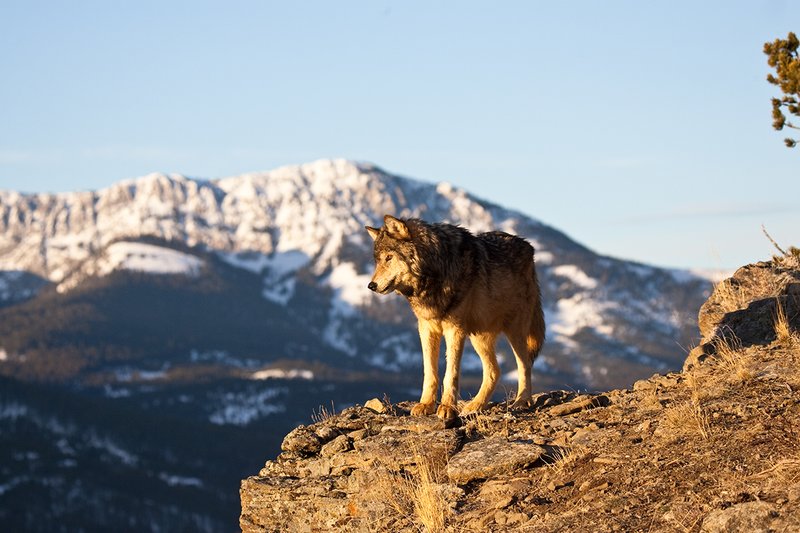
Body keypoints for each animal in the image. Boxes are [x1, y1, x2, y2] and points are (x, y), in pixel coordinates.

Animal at [366, 214, 545, 422]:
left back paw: (521, 402)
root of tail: (529, 246)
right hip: (479, 336)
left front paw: (447, 407)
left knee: (524, 365)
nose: (371, 285)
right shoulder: (426, 329)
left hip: (514, 331)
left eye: (389, 258)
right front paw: (426, 404)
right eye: (377, 261)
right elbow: (430, 372)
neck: (434, 273)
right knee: (494, 370)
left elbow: (450, 373)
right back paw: (476, 405)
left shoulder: (455, 329)